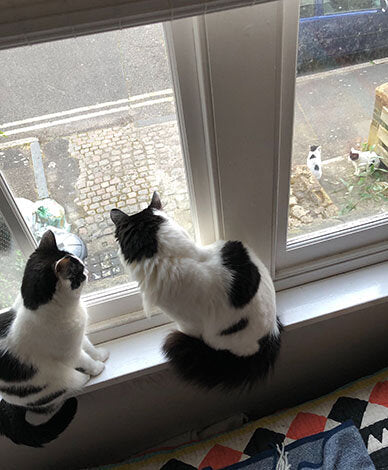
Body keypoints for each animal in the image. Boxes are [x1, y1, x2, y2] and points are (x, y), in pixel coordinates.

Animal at [0, 231, 107, 448]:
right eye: (79, 273)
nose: (87, 271)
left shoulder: (78, 336)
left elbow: (89, 347)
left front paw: (101, 355)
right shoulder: (69, 353)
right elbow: (85, 359)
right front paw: (97, 368)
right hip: (53, 381)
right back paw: (83, 378)